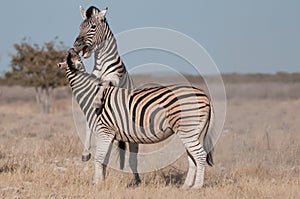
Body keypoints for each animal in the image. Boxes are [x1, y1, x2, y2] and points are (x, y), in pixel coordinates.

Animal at [57, 47, 214, 188]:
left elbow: (99, 158)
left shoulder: (104, 132)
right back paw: (186, 186)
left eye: (64, 59)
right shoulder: (109, 135)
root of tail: (205, 96)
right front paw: (101, 182)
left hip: (187, 129)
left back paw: (197, 186)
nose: (58, 64)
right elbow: (104, 161)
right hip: (192, 131)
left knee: (200, 155)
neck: (92, 95)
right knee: (192, 157)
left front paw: (96, 184)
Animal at [72, 5, 141, 183]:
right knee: (106, 155)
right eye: (80, 27)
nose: (76, 45)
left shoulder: (114, 81)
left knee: (133, 157)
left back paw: (137, 180)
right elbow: (89, 123)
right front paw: (86, 153)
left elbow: (105, 86)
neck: (102, 63)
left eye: (93, 27)